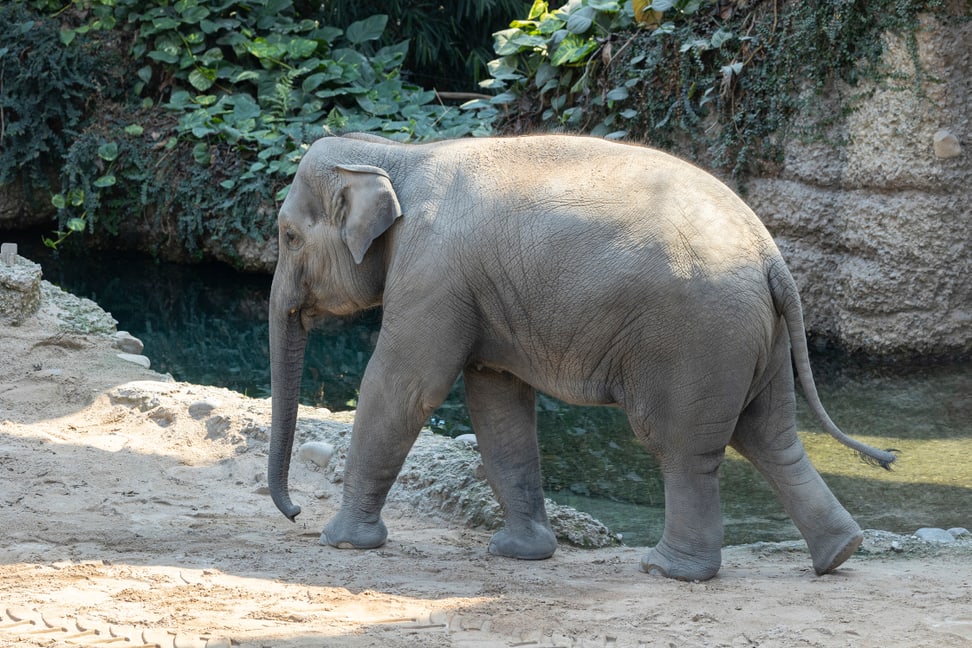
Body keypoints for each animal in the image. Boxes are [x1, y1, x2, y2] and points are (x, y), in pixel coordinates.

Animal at [268, 133, 896, 584]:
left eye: (289, 237)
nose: (294, 513)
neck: (394, 154)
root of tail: (771, 254)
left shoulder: (433, 274)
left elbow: (404, 387)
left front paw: (341, 542)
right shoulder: (474, 292)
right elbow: (497, 402)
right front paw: (520, 553)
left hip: (695, 339)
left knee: (682, 446)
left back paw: (669, 570)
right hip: (754, 339)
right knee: (770, 435)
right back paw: (840, 553)